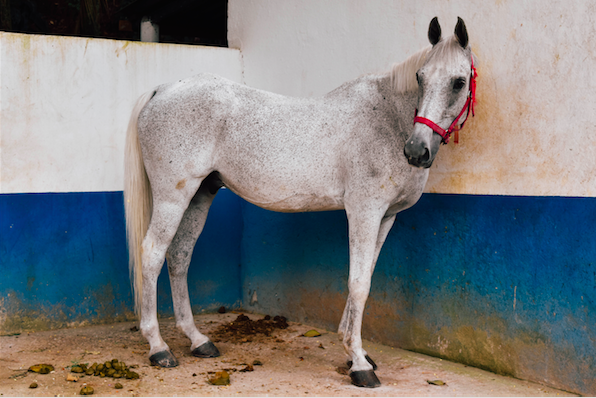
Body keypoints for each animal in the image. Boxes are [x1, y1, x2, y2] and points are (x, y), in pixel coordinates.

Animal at [123, 17, 478, 388]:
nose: (416, 151)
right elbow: (358, 283)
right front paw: (359, 364)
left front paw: (356, 352)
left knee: (179, 256)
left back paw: (197, 340)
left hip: (200, 195)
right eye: (420, 77)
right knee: (152, 254)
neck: (389, 121)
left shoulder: (386, 217)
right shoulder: (364, 212)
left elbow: (365, 275)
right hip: (172, 197)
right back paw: (159, 348)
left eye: (458, 82)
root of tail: (162, 89)